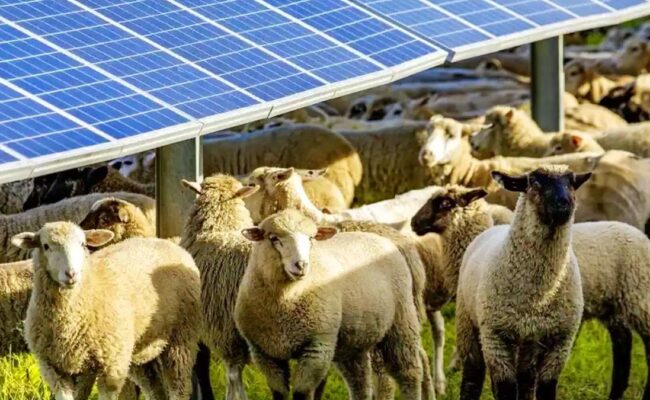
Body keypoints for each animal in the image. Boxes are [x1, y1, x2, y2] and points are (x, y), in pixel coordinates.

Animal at [13, 222, 201, 400]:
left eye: (83, 244)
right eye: (45, 246)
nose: (71, 274)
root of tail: (166, 241)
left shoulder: (111, 368)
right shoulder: (54, 369)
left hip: (181, 336)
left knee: (179, 387)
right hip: (137, 350)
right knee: (154, 388)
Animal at [236, 209, 425, 399]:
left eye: (311, 238)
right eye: (274, 238)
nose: (301, 265)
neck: (285, 300)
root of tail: (378, 236)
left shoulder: (318, 347)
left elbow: (302, 393)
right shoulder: (264, 353)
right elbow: (279, 394)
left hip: (402, 323)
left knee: (409, 374)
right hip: (352, 343)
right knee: (360, 384)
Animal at [455, 166, 590, 400]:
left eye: (572, 182)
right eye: (534, 181)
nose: (564, 203)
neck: (539, 296)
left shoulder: (561, 341)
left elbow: (546, 388)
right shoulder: (496, 337)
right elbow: (506, 389)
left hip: (529, 343)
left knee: (526, 381)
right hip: (469, 325)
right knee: (472, 377)